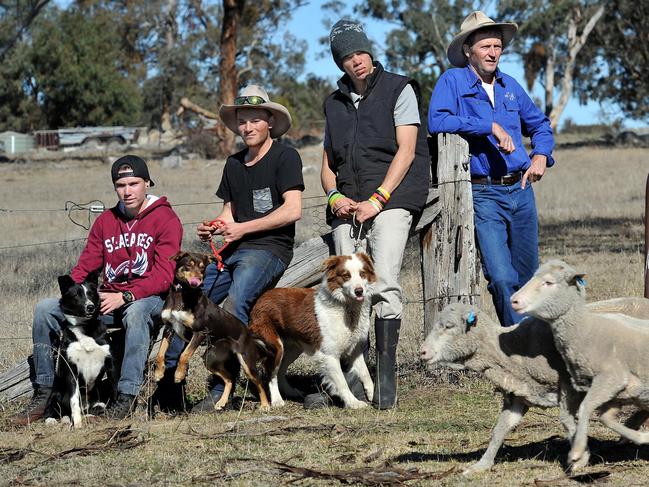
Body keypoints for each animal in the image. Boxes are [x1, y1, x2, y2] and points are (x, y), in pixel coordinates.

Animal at [154, 252, 270, 412]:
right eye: (188, 265)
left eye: (203, 268)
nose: (199, 279)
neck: (182, 293)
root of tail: (248, 332)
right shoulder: (169, 328)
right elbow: (160, 354)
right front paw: (159, 373)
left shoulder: (200, 332)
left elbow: (184, 355)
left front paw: (178, 375)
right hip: (211, 357)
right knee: (229, 378)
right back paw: (221, 402)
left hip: (246, 362)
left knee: (258, 381)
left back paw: (265, 405)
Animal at [420, 298, 649, 476]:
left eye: (449, 326)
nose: (422, 352)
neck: (506, 352)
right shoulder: (518, 395)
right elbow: (500, 429)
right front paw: (481, 465)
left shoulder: (568, 384)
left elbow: (567, 421)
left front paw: (580, 457)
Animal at [512, 264, 649, 472]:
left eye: (549, 282)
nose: (514, 300)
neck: (585, 328)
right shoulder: (617, 390)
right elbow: (604, 418)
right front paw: (639, 437)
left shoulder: (611, 379)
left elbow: (585, 408)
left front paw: (577, 453)